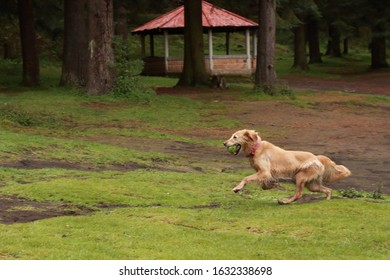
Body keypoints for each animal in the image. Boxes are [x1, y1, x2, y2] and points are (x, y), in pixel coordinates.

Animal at [224, 129, 352, 203]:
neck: (256, 148)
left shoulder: (264, 171)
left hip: (300, 177)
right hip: (312, 185)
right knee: (328, 189)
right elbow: (264, 185)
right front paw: (270, 185)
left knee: (298, 194)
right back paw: (327, 199)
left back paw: (285, 201)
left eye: (235, 137)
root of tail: (317, 158)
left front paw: (237, 188)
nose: (224, 143)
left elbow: (246, 178)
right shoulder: (265, 173)